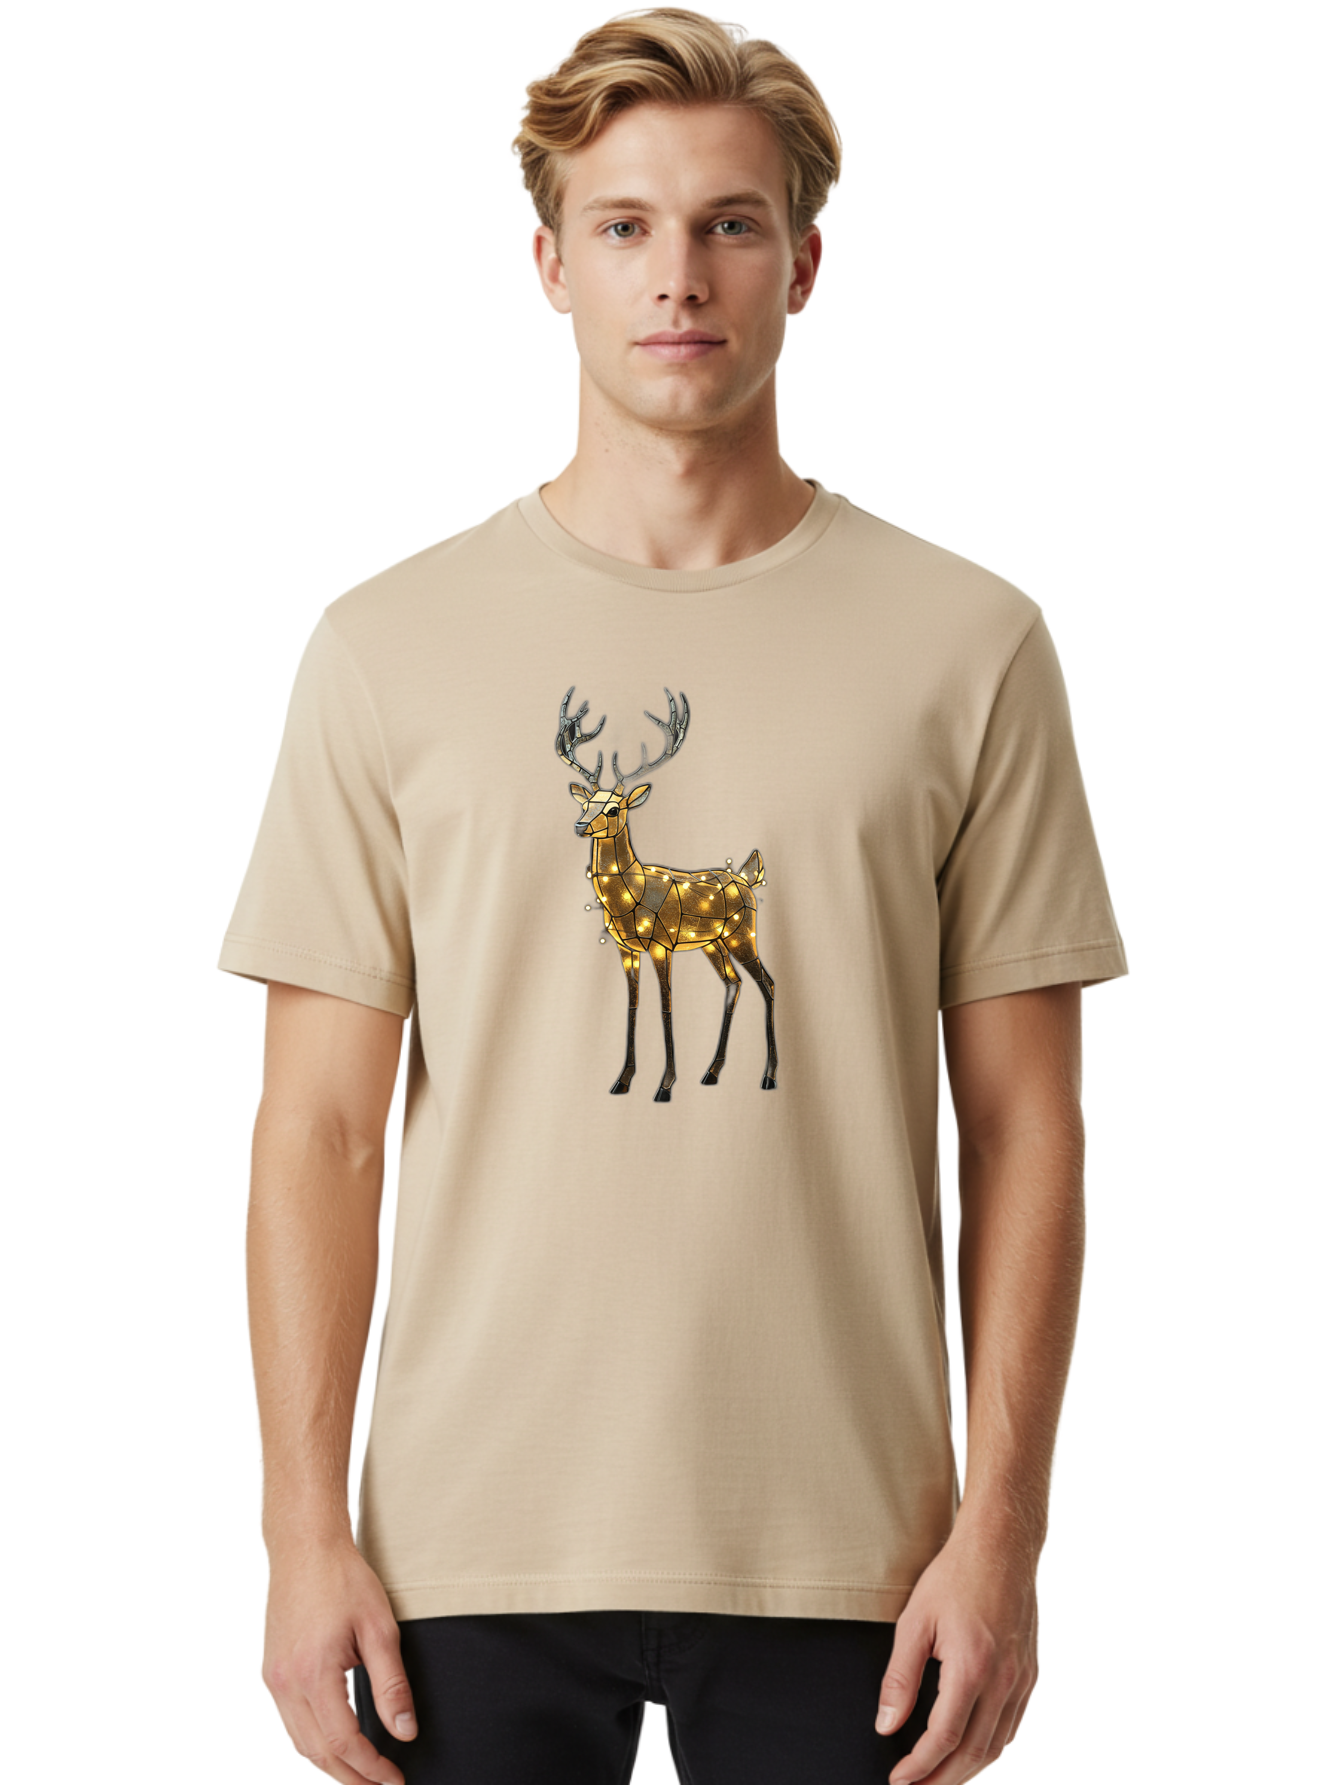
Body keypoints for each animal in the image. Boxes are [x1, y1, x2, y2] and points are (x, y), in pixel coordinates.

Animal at [556, 685, 778, 1102]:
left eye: (613, 809)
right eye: (587, 803)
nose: (579, 826)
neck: (632, 896)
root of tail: (747, 878)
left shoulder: (662, 942)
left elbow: (666, 1005)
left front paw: (665, 1085)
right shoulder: (625, 947)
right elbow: (632, 1005)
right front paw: (622, 1081)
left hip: (743, 933)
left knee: (767, 983)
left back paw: (769, 1076)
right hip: (713, 943)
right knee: (734, 984)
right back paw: (711, 1072)